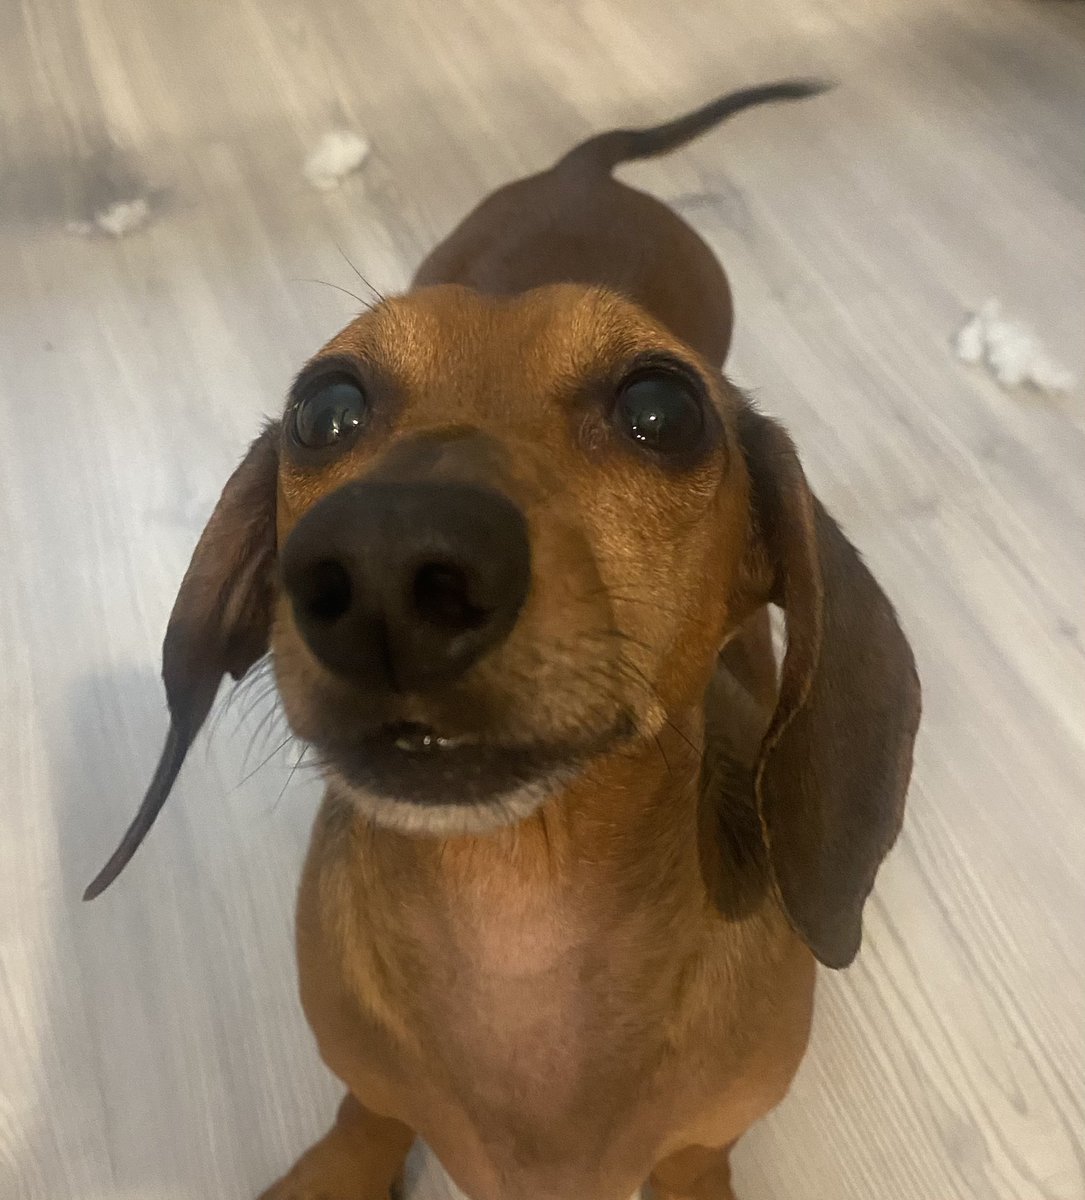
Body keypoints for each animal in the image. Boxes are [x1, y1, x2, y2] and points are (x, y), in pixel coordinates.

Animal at [88, 79, 921, 1195]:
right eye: (323, 407)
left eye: (663, 409)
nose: (387, 565)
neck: (515, 918)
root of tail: (581, 172)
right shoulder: (369, 1081)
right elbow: (368, 1115)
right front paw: (340, 1165)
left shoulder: (703, 1140)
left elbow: (693, 1157)